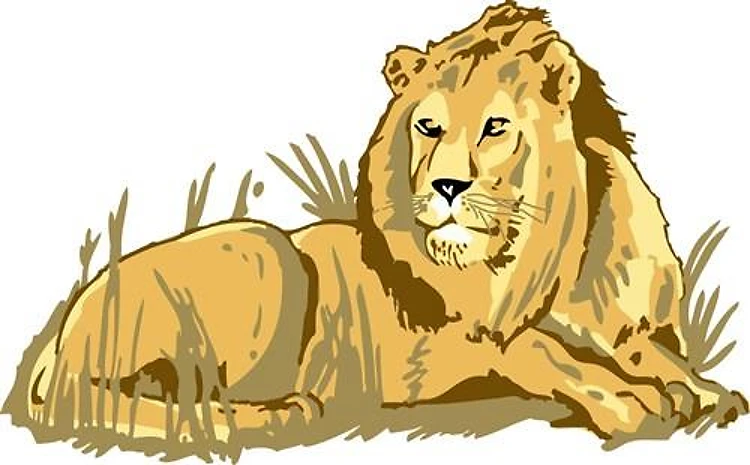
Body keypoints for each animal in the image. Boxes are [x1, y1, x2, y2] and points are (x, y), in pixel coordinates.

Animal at [5, 0, 747, 456]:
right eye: (429, 127)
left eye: (495, 127)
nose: (446, 186)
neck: (556, 262)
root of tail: (58, 336)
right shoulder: (458, 345)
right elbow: (542, 352)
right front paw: (633, 402)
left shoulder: (621, 328)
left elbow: (651, 353)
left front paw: (704, 390)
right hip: (264, 247)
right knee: (121, 404)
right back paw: (280, 413)